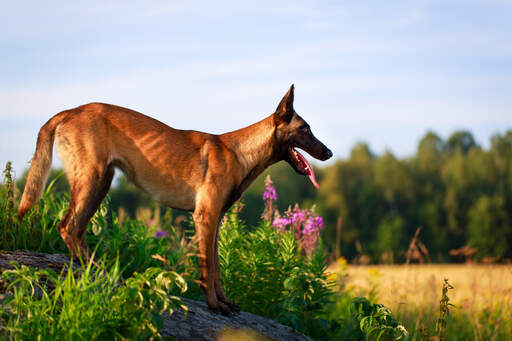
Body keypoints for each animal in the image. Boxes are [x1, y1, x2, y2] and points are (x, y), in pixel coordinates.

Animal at [17, 85, 332, 314]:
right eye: (305, 129)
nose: (329, 152)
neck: (241, 153)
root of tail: (70, 111)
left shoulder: (215, 221)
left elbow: (217, 268)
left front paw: (224, 302)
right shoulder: (205, 217)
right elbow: (208, 268)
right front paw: (214, 305)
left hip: (99, 183)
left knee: (75, 230)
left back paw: (92, 271)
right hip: (93, 181)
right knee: (68, 227)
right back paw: (99, 273)